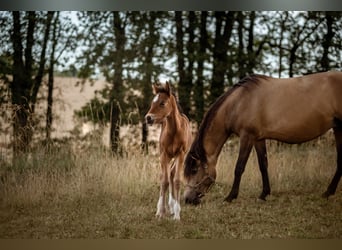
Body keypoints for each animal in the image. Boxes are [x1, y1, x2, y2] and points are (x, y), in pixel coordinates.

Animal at [145, 81, 192, 219]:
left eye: (162, 103)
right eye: (152, 102)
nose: (148, 118)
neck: (175, 131)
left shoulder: (180, 154)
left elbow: (176, 180)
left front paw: (177, 214)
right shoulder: (164, 154)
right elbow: (164, 181)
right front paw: (161, 212)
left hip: (176, 157)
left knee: (171, 173)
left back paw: (172, 206)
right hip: (164, 156)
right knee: (164, 176)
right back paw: (163, 208)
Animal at [184, 71, 342, 205]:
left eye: (194, 170)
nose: (187, 200)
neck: (239, 103)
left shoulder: (247, 136)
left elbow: (239, 167)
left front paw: (230, 197)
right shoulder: (258, 139)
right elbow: (263, 165)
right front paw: (264, 194)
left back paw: (328, 192)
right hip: (338, 128)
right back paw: (328, 192)